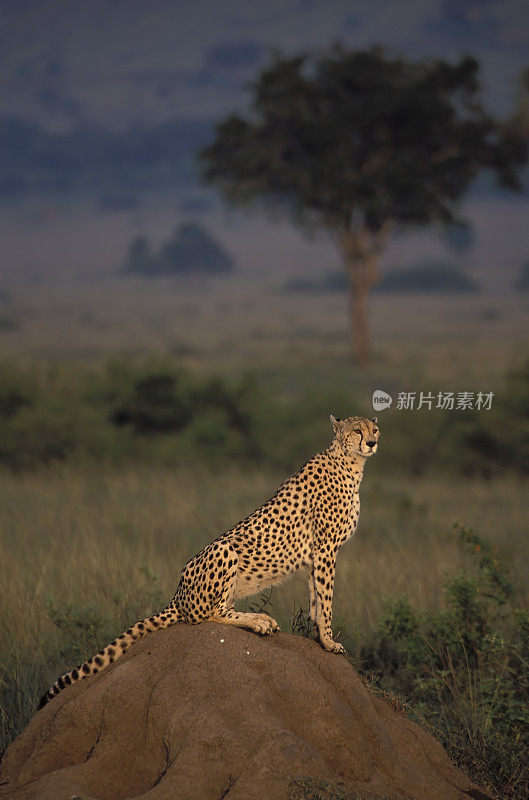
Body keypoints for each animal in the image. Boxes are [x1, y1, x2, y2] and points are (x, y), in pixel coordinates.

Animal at [39, 416, 380, 708]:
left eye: (374, 429)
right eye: (356, 431)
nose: (372, 443)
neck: (349, 463)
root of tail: (177, 594)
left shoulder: (317, 554)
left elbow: (315, 599)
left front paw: (318, 635)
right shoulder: (326, 549)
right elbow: (327, 599)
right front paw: (329, 641)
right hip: (224, 550)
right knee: (208, 615)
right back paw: (257, 620)